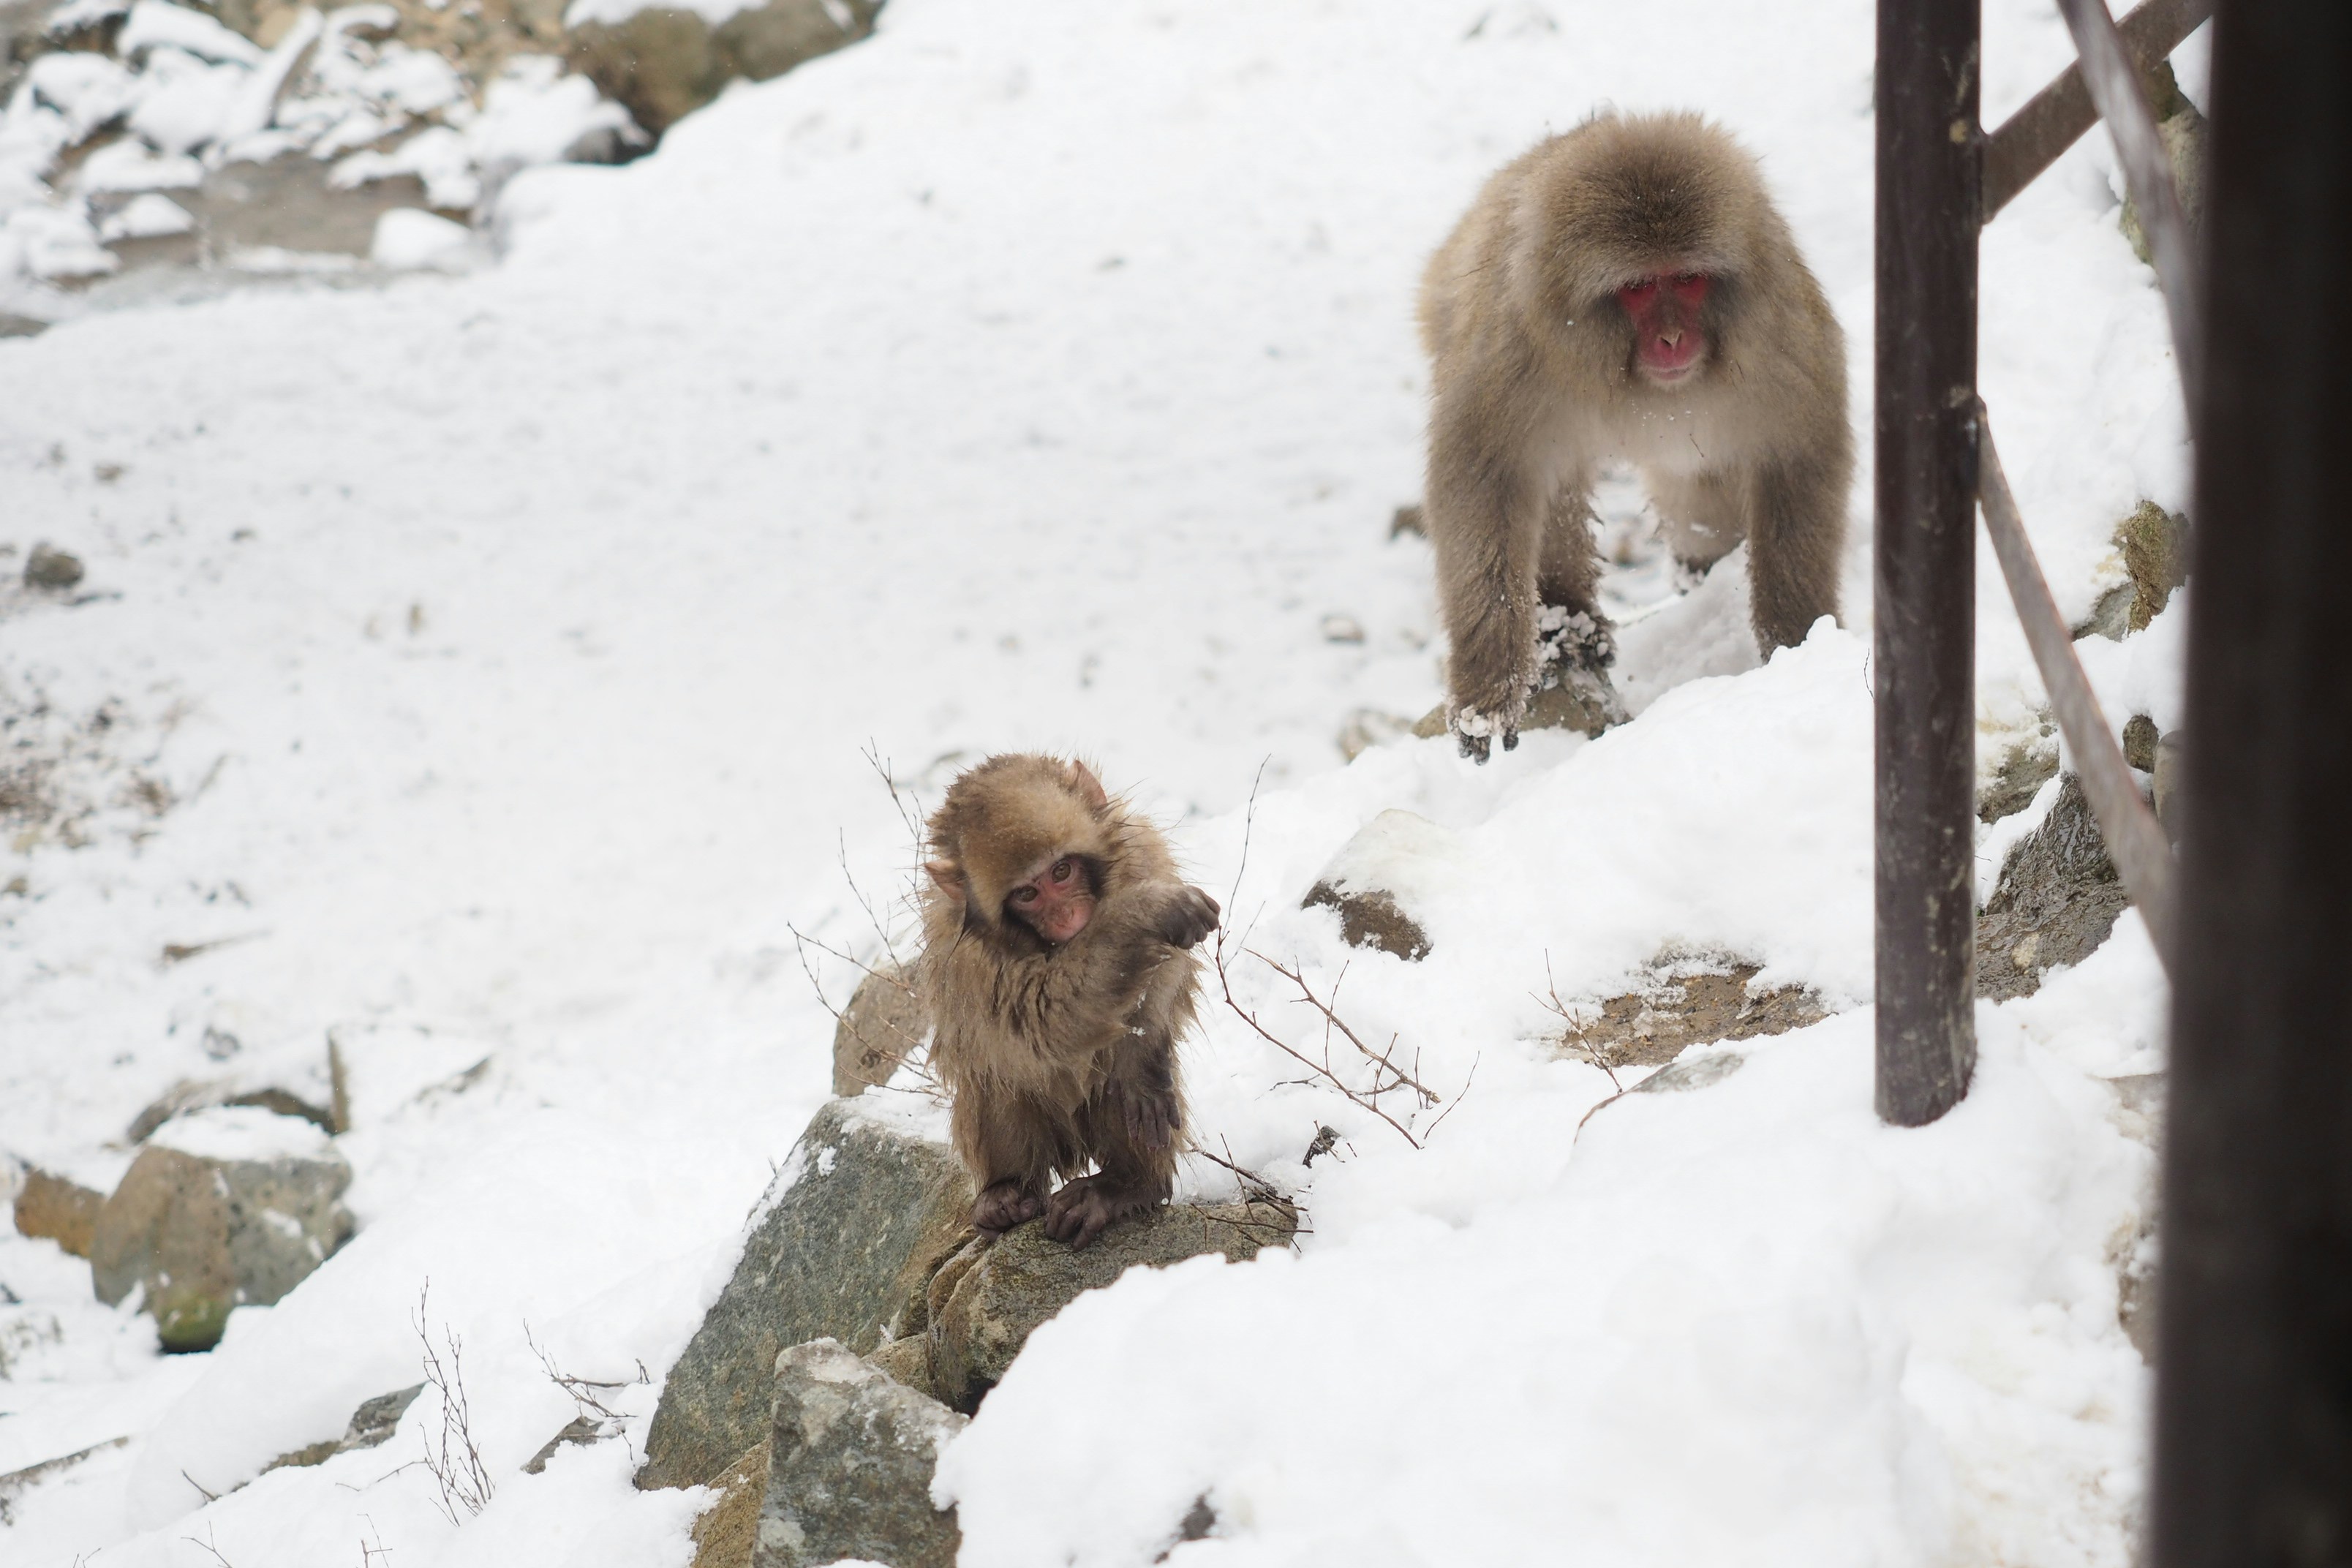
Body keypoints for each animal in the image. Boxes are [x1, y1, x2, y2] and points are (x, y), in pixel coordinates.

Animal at [912, 752, 1223, 1251]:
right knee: (995, 1073)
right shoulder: (969, 958)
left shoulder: (1141, 851)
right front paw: (1141, 915)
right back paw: (1007, 1192)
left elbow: (1167, 975)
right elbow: (1042, 1020)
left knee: (1112, 1075)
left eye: (1062, 871)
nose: (1067, 916)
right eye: (1027, 894)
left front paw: (1145, 1055)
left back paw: (1126, 1184)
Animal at [1411, 110, 1853, 761]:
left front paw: (1796, 643)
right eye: (1641, 288)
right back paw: (1565, 623)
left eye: (1689, 279)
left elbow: (1798, 454)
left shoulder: (1781, 334)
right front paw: (1487, 690)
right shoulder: (1513, 348)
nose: (1672, 339)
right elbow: (1485, 479)